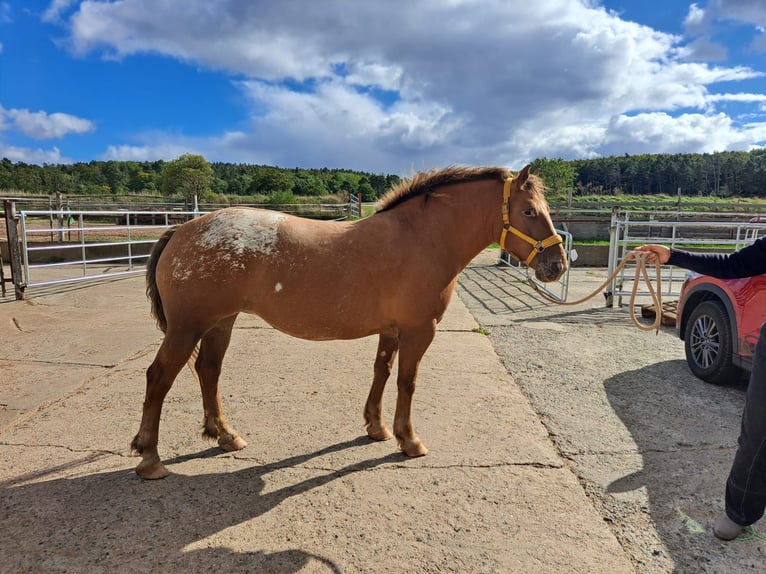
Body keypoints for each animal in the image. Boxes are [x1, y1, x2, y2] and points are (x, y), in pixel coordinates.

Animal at [132, 164, 568, 480]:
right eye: (529, 211)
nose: (558, 266)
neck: (420, 239)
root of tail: (182, 230)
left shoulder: (392, 331)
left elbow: (382, 372)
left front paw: (377, 427)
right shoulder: (419, 331)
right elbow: (407, 382)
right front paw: (409, 440)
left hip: (220, 323)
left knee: (209, 371)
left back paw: (225, 435)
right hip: (187, 327)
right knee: (158, 377)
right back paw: (150, 458)